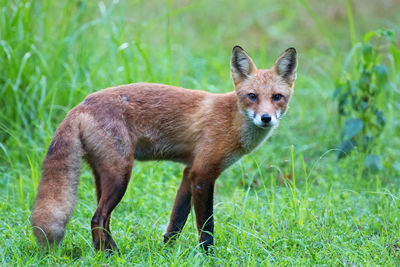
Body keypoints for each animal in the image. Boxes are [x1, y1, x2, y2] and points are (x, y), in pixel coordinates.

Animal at [31, 46, 296, 253]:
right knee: (97, 218)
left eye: (277, 97)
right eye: (252, 96)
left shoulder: (189, 172)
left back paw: (109, 253)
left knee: (103, 220)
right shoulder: (203, 174)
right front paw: (209, 256)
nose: (265, 118)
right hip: (120, 176)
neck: (231, 120)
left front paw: (166, 252)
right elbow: (206, 226)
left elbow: (176, 222)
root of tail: (80, 105)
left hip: (104, 176)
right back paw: (109, 256)